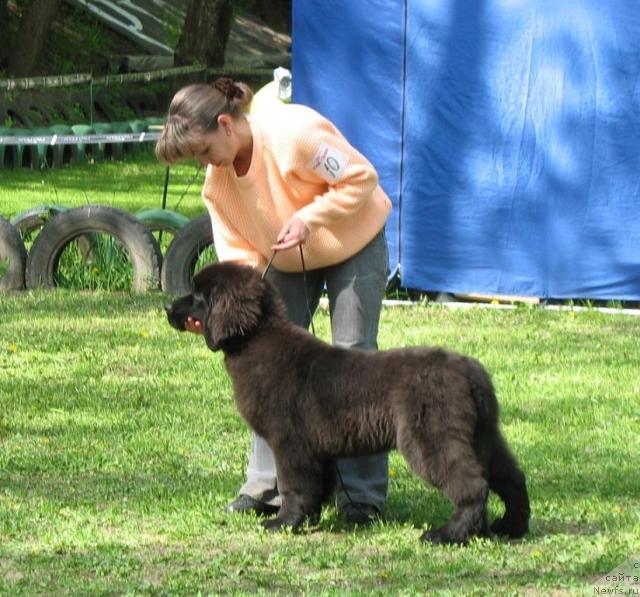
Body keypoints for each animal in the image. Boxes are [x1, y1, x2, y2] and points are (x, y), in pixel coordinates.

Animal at [165, 264, 528, 544]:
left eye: (198, 297)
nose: (168, 308)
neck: (254, 339)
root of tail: (470, 370)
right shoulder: (317, 448)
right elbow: (315, 488)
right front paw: (307, 521)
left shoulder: (290, 442)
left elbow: (294, 486)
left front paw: (283, 523)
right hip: (482, 435)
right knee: (511, 477)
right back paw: (511, 527)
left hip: (432, 437)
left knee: (473, 485)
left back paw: (447, 534)